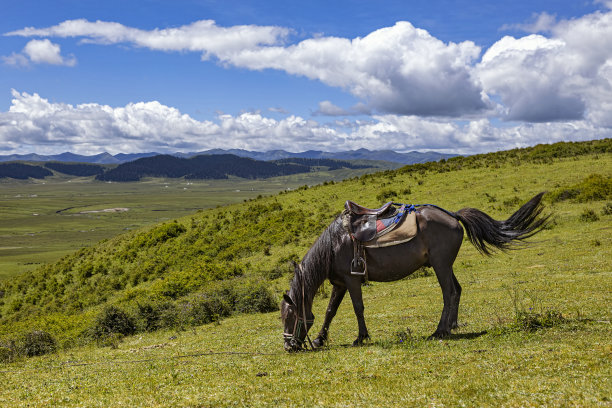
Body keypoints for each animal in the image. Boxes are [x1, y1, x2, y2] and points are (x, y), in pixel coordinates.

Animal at [282, 193, 548, 352]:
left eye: (289, 316)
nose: (288, 346)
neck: (334, 244)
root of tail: (453, 216)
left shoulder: (351, 279)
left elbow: (358, 308)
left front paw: (361, 337)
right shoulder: (339, 283)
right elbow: (330, 312)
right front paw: (319, 339)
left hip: (441, 265)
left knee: (449, 293)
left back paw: (440, 330)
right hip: (445, 265)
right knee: (457, 290)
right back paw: (452, 325)